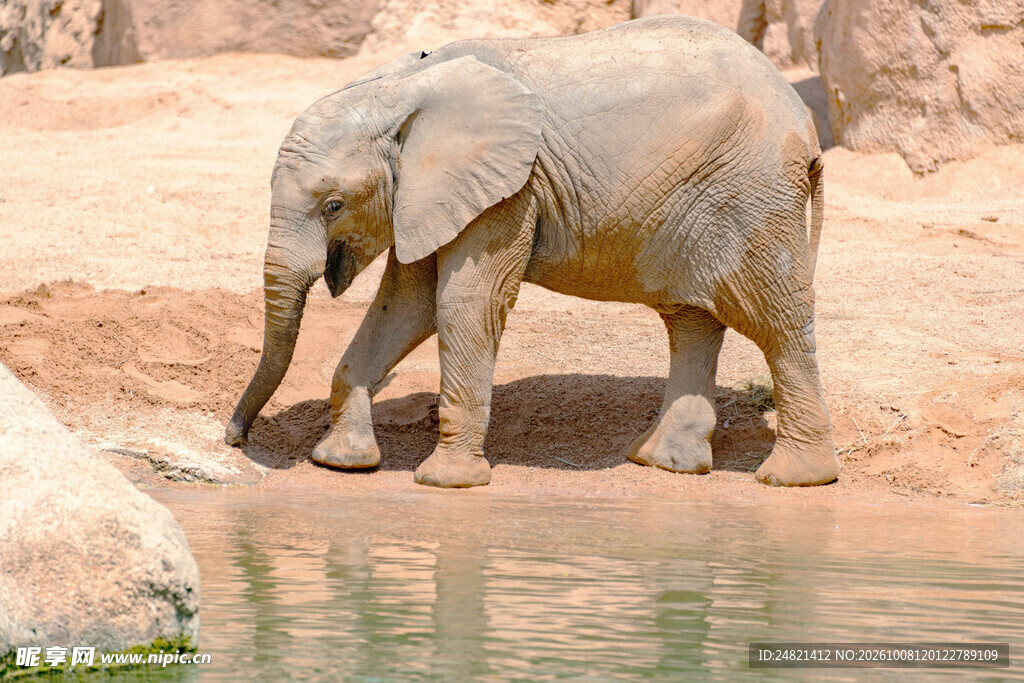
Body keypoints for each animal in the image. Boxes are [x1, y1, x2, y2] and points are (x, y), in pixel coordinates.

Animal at [225, 15, 839, 488]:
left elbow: (464, 303)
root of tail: (804, 121)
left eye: (333, 205)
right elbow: (406, 306)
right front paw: (342, 463)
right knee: (691, 320)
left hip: (754, 196)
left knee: (776, 322)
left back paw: (794, 478)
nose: (234, 437)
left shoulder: (509, 189)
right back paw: (662, 463)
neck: (399, 88)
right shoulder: (431, 192)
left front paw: (445, 483)